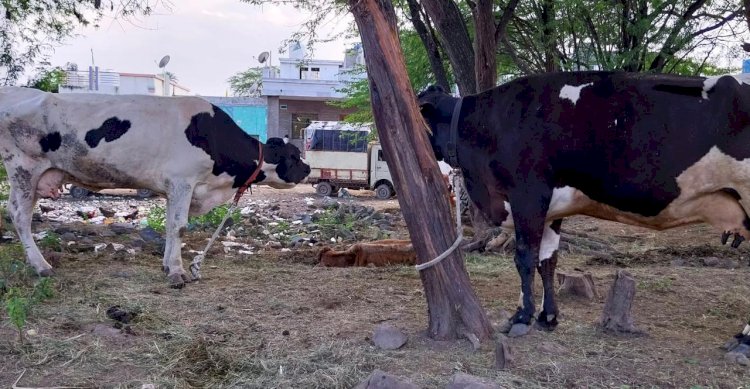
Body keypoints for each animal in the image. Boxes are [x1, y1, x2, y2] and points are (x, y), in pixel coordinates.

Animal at [0, 88, 312, 288]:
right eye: (294, 156)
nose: (308, 169)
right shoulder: (183, 181)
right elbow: (180, 227)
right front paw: (177, 273)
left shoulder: (174, 188)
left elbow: (171, 226)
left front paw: (167, 265)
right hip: (24, 170)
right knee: (19, 216)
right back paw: (41, 266)